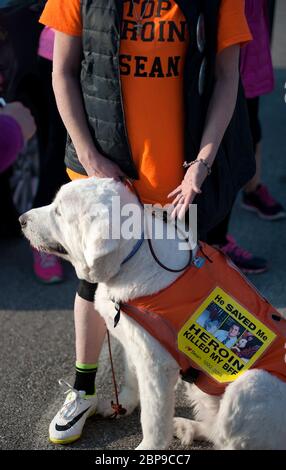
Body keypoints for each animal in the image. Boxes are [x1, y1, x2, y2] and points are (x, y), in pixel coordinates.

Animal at [20, 178, 286, 450]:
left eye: (59, 212)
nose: (21, 219)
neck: (133, 256)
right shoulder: (134, 342)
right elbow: (131, 377)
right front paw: (124, 405)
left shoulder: (156, 366)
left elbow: (152, 418)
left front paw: (149, 447)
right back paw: (187, 427)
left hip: (251, 383)